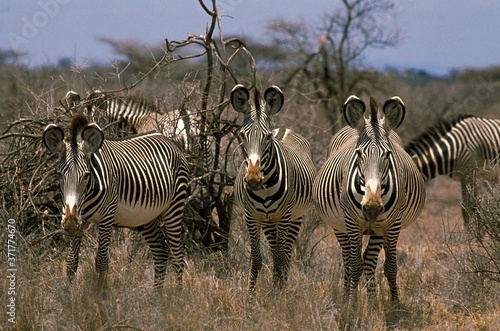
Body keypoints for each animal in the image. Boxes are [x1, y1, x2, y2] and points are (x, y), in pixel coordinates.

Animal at [42, 112, 189, 288]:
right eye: (58, 175)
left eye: (86, 175)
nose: (70, 222)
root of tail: (167, 139)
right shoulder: (80, 221)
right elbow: (71, 262)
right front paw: (68, 294)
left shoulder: (106, 218)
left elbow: (101, 261)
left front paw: (100, 293)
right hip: (145, 218)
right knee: (161, 251)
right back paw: (156, 294)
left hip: (174, 206)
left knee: (178, 254)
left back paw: (176, 294)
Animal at [231, 84, 316, 292]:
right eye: (242, 135)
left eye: (267, 136)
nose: (253, 179)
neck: (264, 190)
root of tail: (283, 128)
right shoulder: (251, 216)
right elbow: (257, 258)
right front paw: (251, 296)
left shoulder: (284, 215)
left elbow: (279, 258)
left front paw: (277, 296)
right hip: (269, 221)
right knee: (274, 250)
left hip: (295, 217)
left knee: (285, 254)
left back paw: (281, 285)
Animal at [312, 96, 426, 306]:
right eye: (358, 154)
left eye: (388, 154)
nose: (372, 207)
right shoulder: (351, 221)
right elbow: (355, 265)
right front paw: (352, 306)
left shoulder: (392, 223)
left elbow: (390, 266)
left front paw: (394, 305)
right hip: (340, 226)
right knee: (349, 260)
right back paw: (347, 297)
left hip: (377, 230)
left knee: (369, 260)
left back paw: (372, 302)